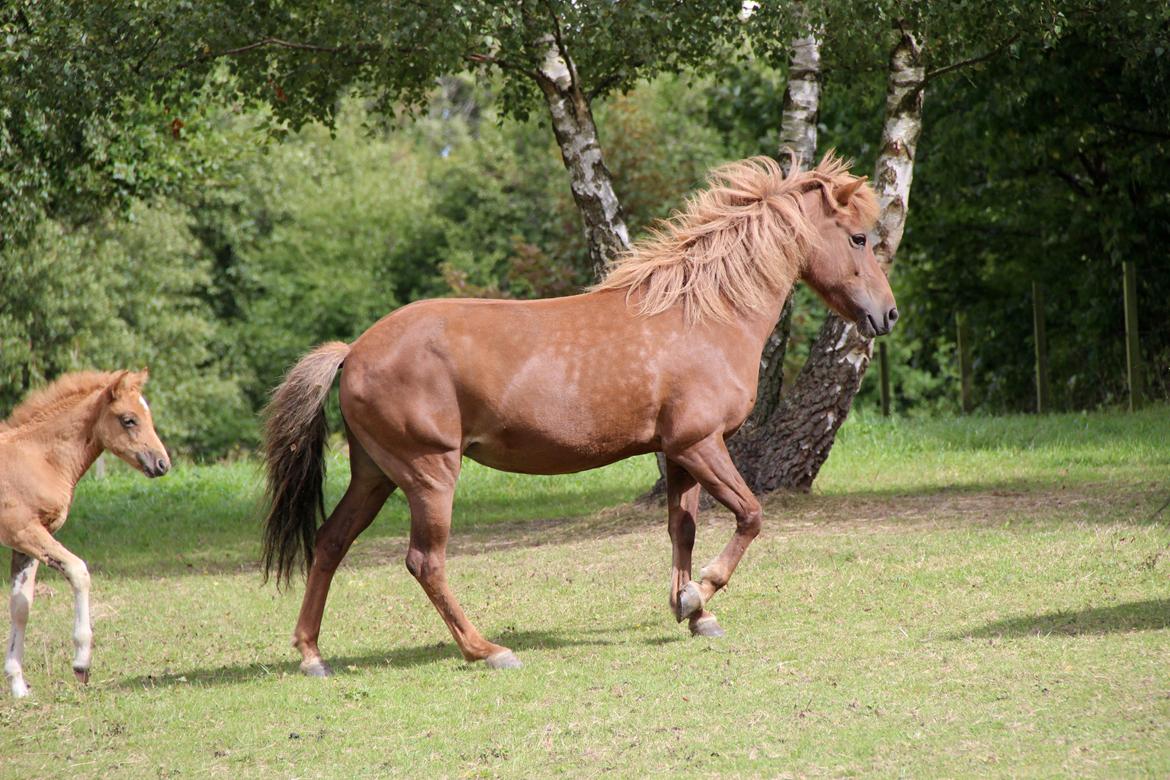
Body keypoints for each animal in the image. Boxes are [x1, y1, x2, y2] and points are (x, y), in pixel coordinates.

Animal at [0, 369, 169, 696]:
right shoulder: (25, 531)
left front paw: (18, 686)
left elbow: (20, 606)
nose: (162, 463)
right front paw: (81, 663)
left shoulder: (24, 543)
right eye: (129, 419)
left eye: (149, 415)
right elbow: (79, 571)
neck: (37, 458)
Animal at [263, 154, 893, 678]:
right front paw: (699, 595)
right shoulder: (701, 444)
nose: (887, 315)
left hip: (374, 474)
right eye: (859, 237)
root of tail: (353, 351)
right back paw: (487, 650)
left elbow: (683, 529)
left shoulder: (679, 453)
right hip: (428, 473)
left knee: (329, 542)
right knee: (425, 561)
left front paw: (693, 611)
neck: (702, 315)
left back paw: (312, 655)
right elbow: (751, 515)